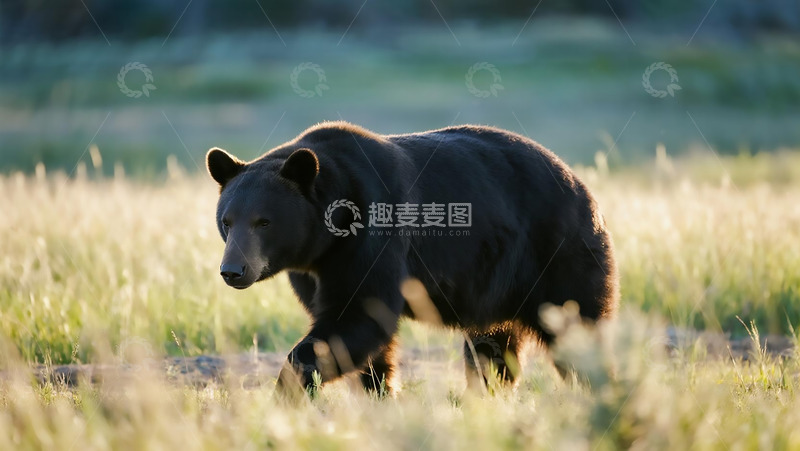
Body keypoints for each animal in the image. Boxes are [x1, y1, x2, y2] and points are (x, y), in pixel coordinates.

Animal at [206, 121, 618, 398]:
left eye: (263, 221)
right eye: (226, 221)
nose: (233, 270)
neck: (328, 237)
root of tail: (580, 182)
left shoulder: (372, 243)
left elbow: (355, 315)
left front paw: (287, 391)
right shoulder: (314, 272)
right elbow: (358, 333)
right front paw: (379, 391)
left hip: (556, 253)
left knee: (575, 322)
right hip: (499, 287)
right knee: (492, 348)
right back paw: (486, 393)